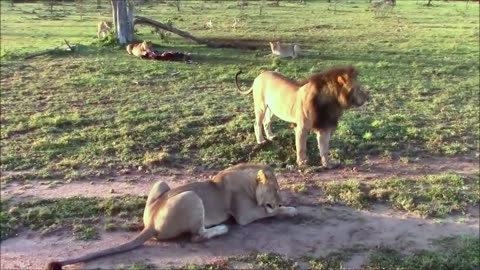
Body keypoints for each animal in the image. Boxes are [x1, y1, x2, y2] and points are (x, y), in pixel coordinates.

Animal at [47, 163, 298, 268]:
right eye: (276, 189)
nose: (280, 199)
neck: (248, 181)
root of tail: (151, 223)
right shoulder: (244, 215)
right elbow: (269, 212)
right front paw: (288, 209)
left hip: (161, 183)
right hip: (191, 197)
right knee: (197, 236)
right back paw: (221, 229)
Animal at [236, 66, 372, 168]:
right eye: (358, 88)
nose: (368, 97)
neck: (332, 102)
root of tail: (259, 75)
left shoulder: (324, 127)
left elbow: (324, 149)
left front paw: (327, 164)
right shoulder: (302, 127)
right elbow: (301, 147)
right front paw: (302, 162)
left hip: (275, 110)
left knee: (266, 122)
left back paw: (270, 136)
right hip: (261, 107)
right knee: (257, 123)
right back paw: (261, 140)